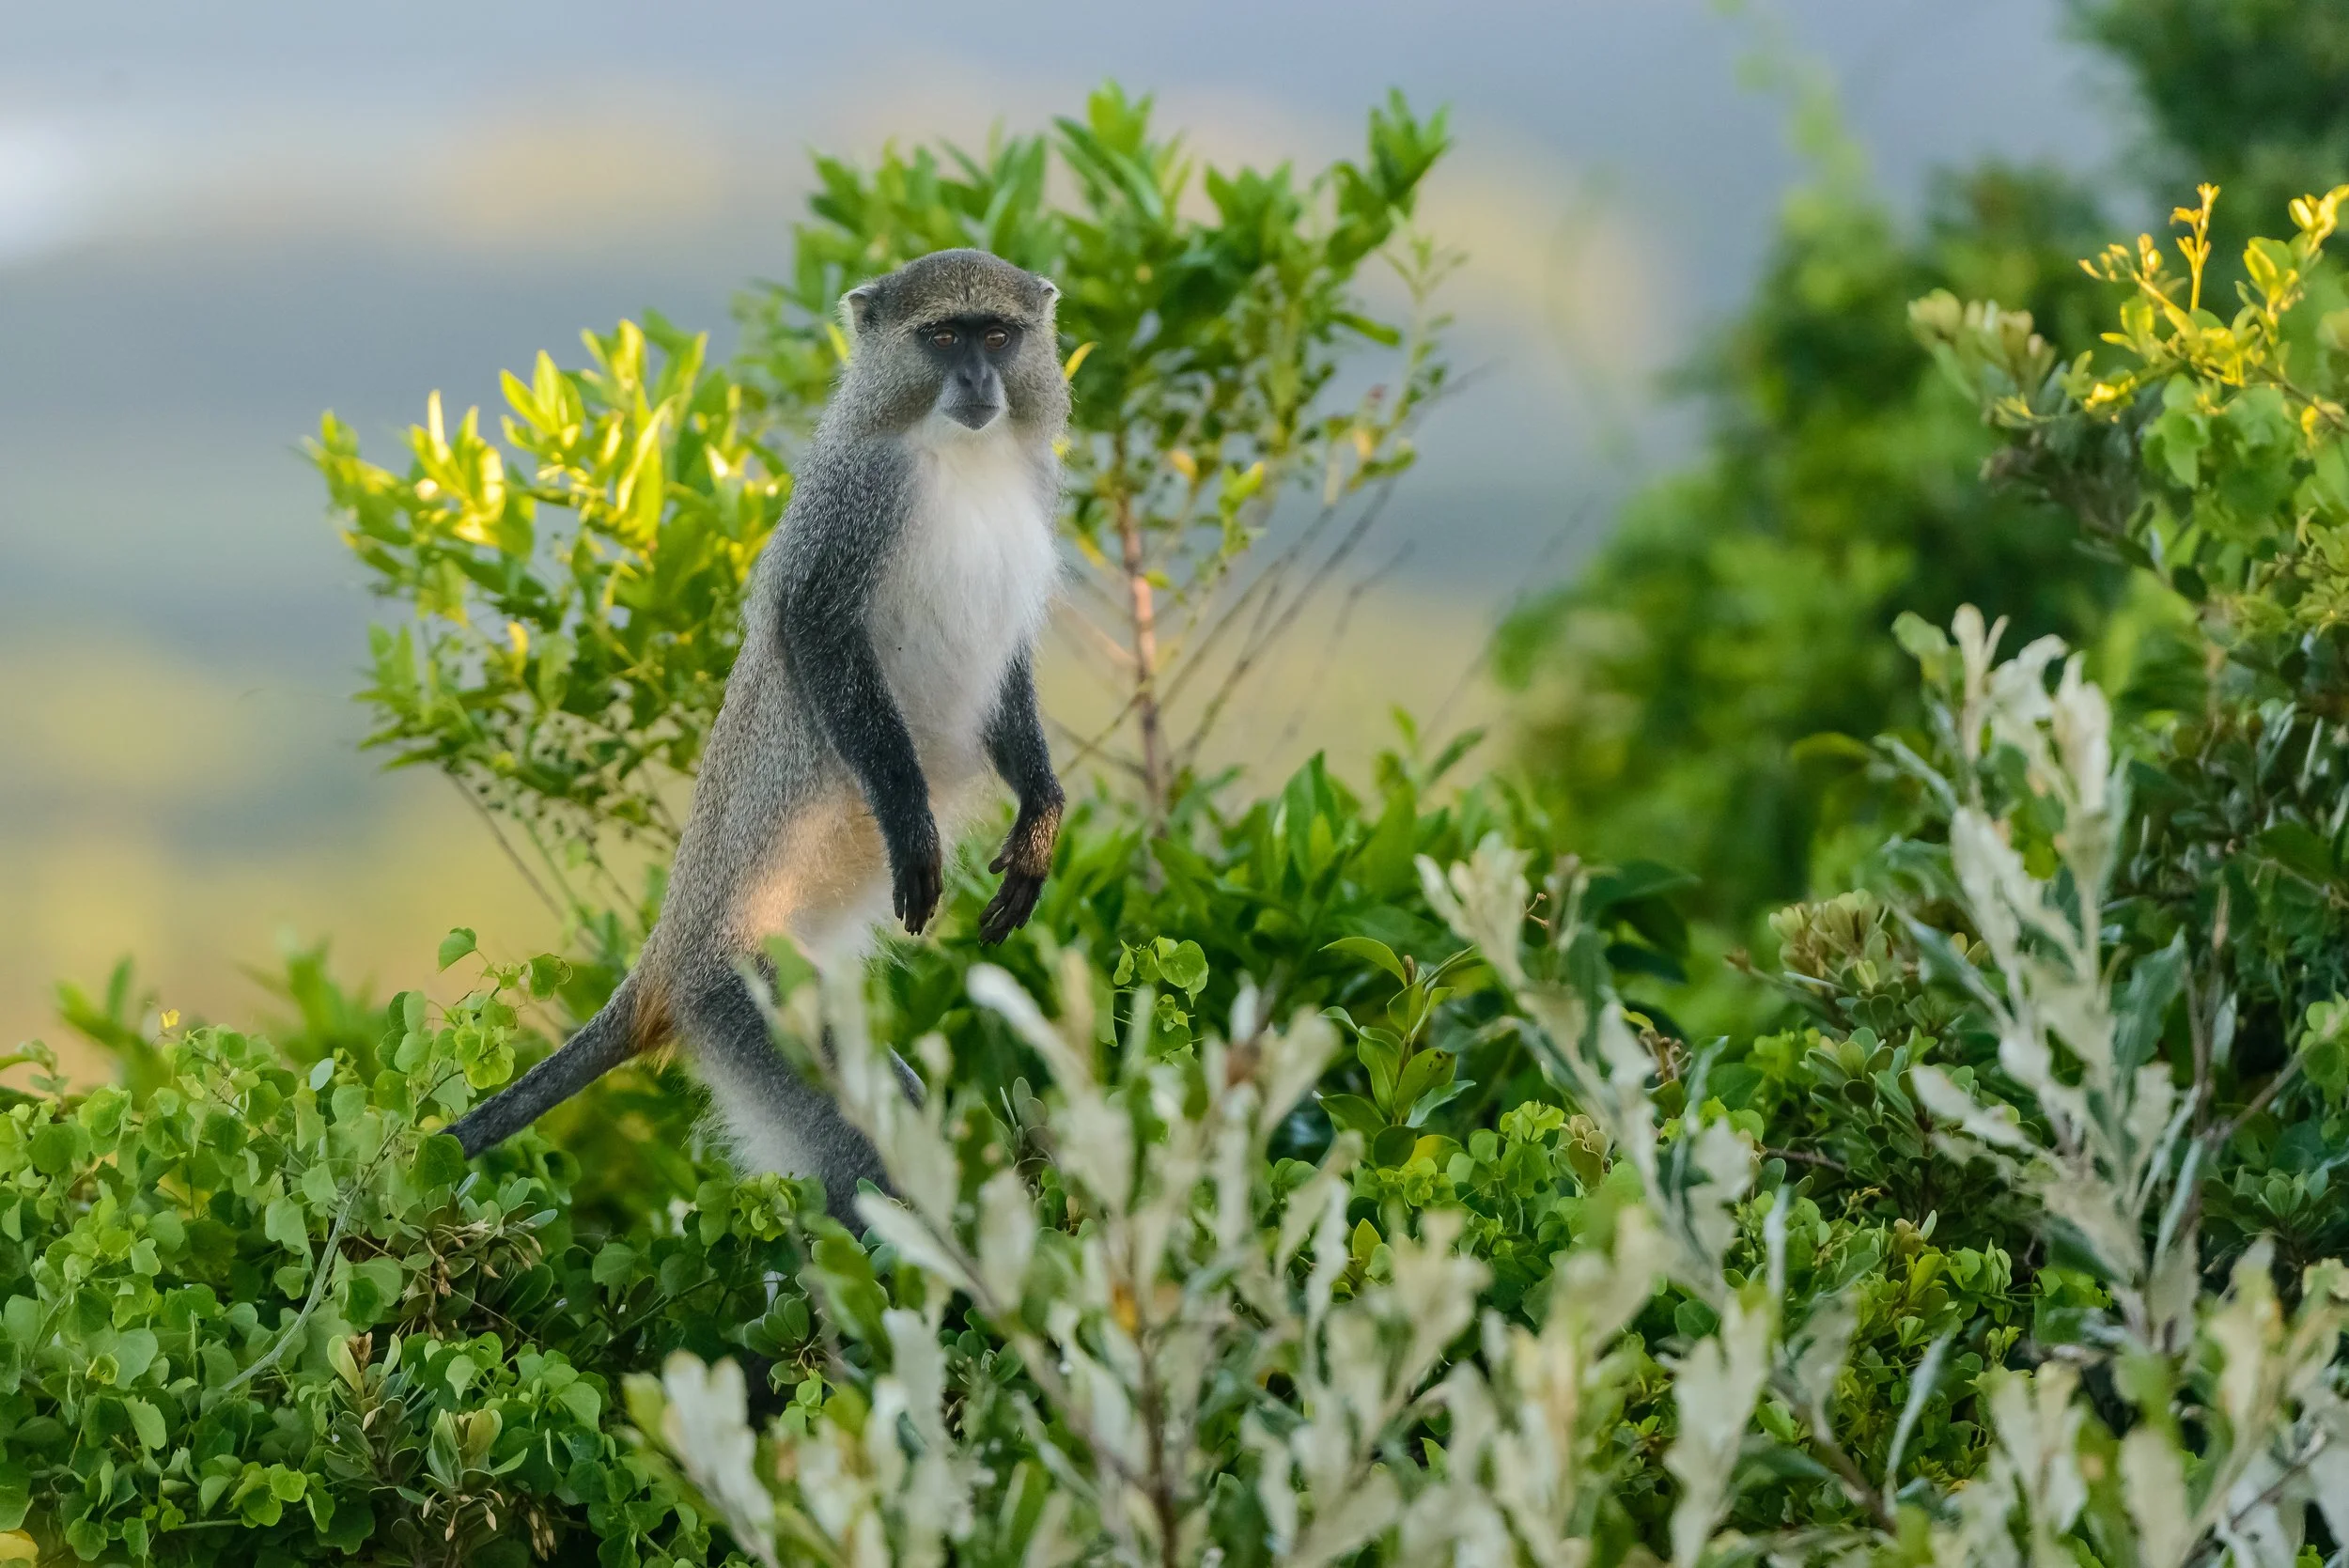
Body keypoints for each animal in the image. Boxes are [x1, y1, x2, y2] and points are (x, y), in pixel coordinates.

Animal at [446, 249, 1070, 1224]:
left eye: (998, 334)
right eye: (942, 337)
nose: (976, 381)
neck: (961, 456)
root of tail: (666, 961)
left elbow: (1006, 672)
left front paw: (1040, 816)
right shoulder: (853, 507)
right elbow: (815, 631)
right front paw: (912, 824)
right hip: (743, 998)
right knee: (865, 1159)